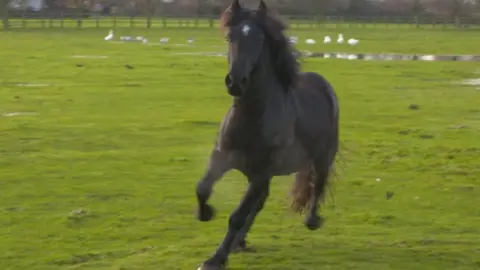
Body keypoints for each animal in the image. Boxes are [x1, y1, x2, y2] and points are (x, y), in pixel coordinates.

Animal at [194, 1, 338, 268]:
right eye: (229, 37)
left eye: (260, 40)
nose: (235, 82)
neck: (252, 117)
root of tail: (323, 84)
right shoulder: (222, 158)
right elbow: (202, 189)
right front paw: (205, 213)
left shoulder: (261, 173)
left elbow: (238, 215)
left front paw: (215, 259)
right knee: (260, 202)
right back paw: (239, 242)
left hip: (322, 157)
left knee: (317, 184)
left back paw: (312, 220)